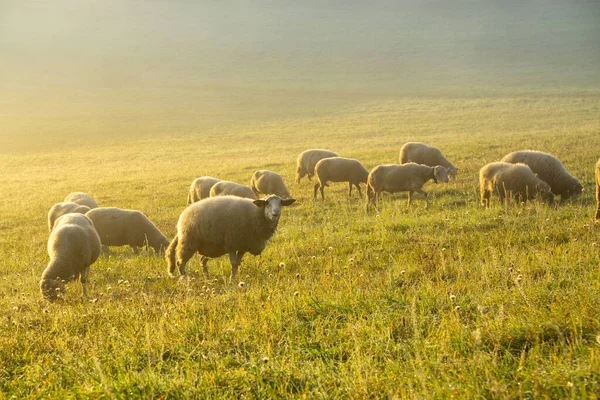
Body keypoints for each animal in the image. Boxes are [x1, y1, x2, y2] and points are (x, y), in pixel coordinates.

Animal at [165, 195, 296, 280]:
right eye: (267, 203)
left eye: (281, 203)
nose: (275, 214)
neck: (257, 215)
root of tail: (182, 217)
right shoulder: (231, 244)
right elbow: (233, 263)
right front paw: (232, 280)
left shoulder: (243, 246)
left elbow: (237, 263)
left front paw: (235, 276)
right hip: (188, 241)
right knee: (180, 263)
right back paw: (185, 280)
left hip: (205, 245)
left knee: (202, 261)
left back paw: (207, 278)